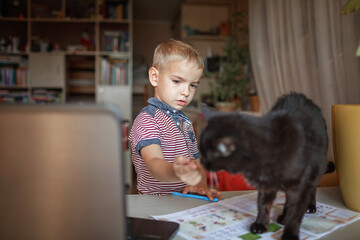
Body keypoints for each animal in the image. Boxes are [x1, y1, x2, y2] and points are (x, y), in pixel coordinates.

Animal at [200, 92, 334, 240]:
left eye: (205, 154)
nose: (201, 162)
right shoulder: (265, 186)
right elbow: (263, 205)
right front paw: (260, 224)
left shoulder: (300, 185)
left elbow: (295, 213)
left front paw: (290, 234)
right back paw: (283, 216)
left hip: (316, 167)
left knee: (312, 188)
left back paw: (310, 206)